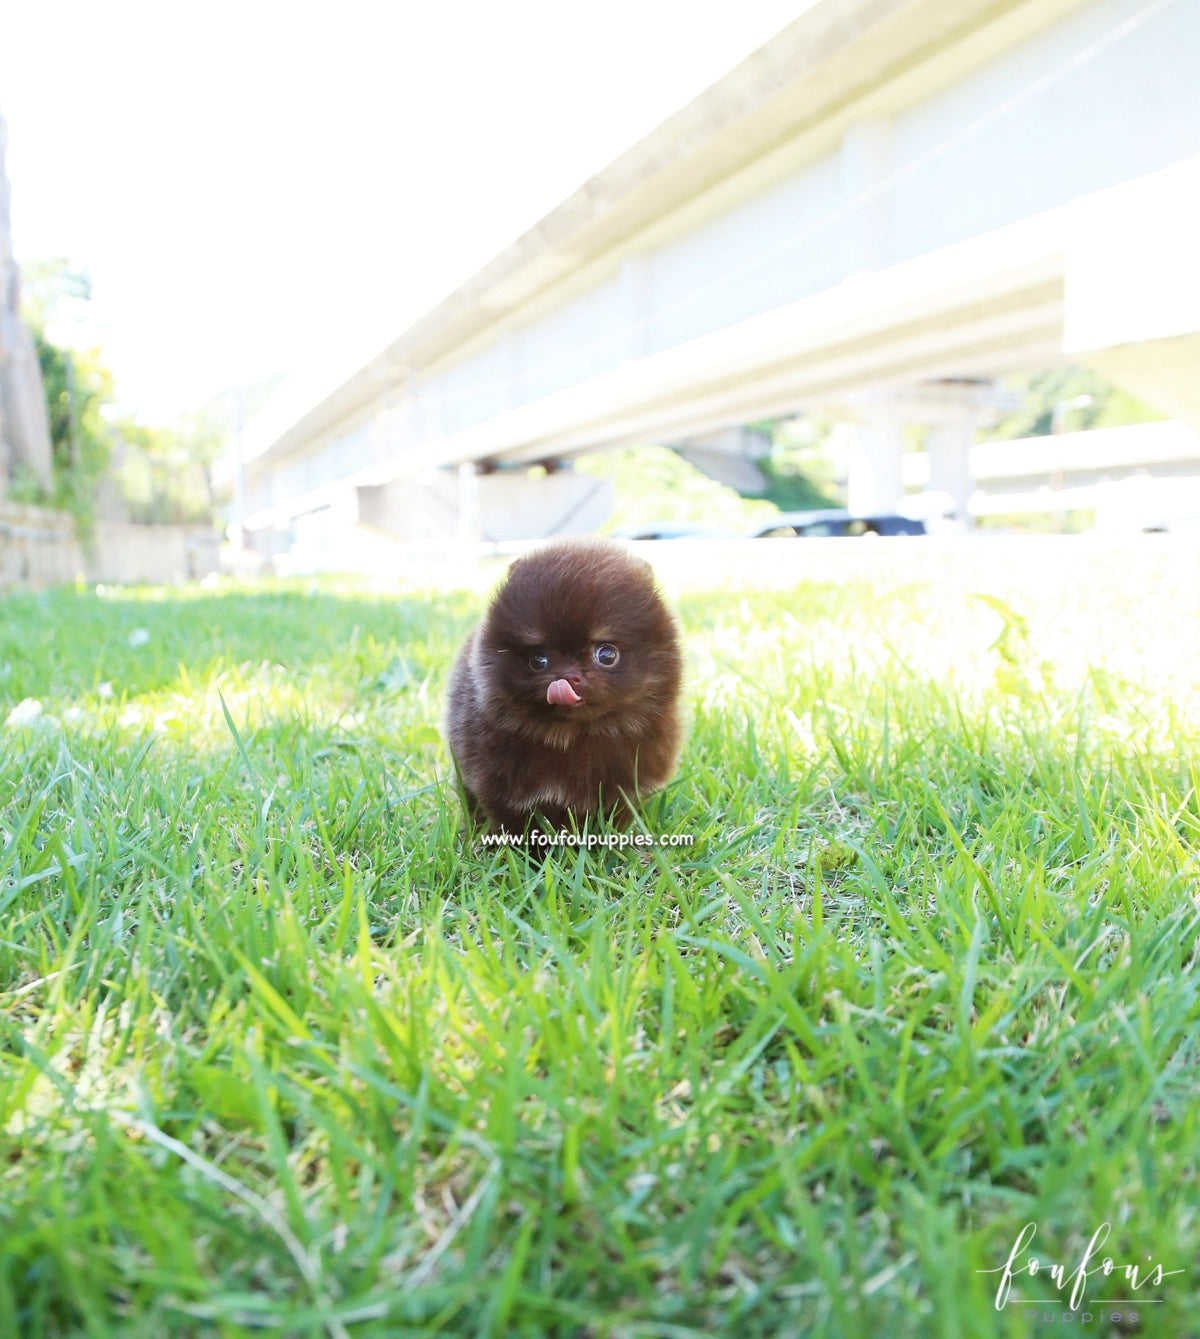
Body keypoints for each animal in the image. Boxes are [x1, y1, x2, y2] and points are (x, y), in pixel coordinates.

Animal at [441, 538, 685, 830]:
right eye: (538, 659)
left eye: (607, 654)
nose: (567, 677)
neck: (575, 736)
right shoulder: (501, 790)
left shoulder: (626, 791)